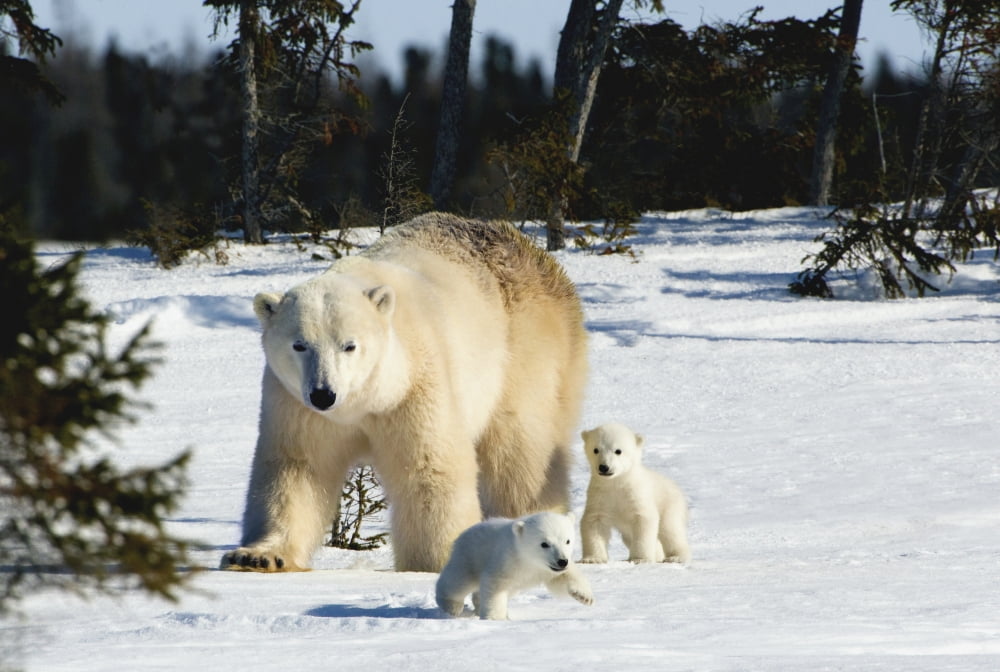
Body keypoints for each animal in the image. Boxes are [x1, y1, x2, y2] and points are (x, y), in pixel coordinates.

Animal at [221, 212, 588, 573]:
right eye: (299, 345)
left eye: (349, 345)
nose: (324, 394)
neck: (366, 400)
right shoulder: (297, 405)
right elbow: (297, 468)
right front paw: (257, 556)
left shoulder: (414, 385)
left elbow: (429, 467)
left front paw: (435, 562)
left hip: (524, 352)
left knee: (520, 452)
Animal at [435, 512, 594, 620]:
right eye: (544, 544)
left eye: (567, 541)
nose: (562, 561)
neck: (528, 560)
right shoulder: (507, 560)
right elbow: (495, 585)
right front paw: (495, 618)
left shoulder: (546, 569)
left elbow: (562, 577)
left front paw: (584, 596)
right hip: (469, 556)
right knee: (458, 581)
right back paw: (452, 606)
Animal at [579, 422, 691, 564]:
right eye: (595, 449)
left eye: (618, 451)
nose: (604, 467)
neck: (617, 482)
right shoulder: (600, 495)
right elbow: (594, 521)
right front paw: (593, 559)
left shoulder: (636, 494)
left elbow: (644, 520)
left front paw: (640, 559)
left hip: (669, 504)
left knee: (670, 530)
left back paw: (676, 557)